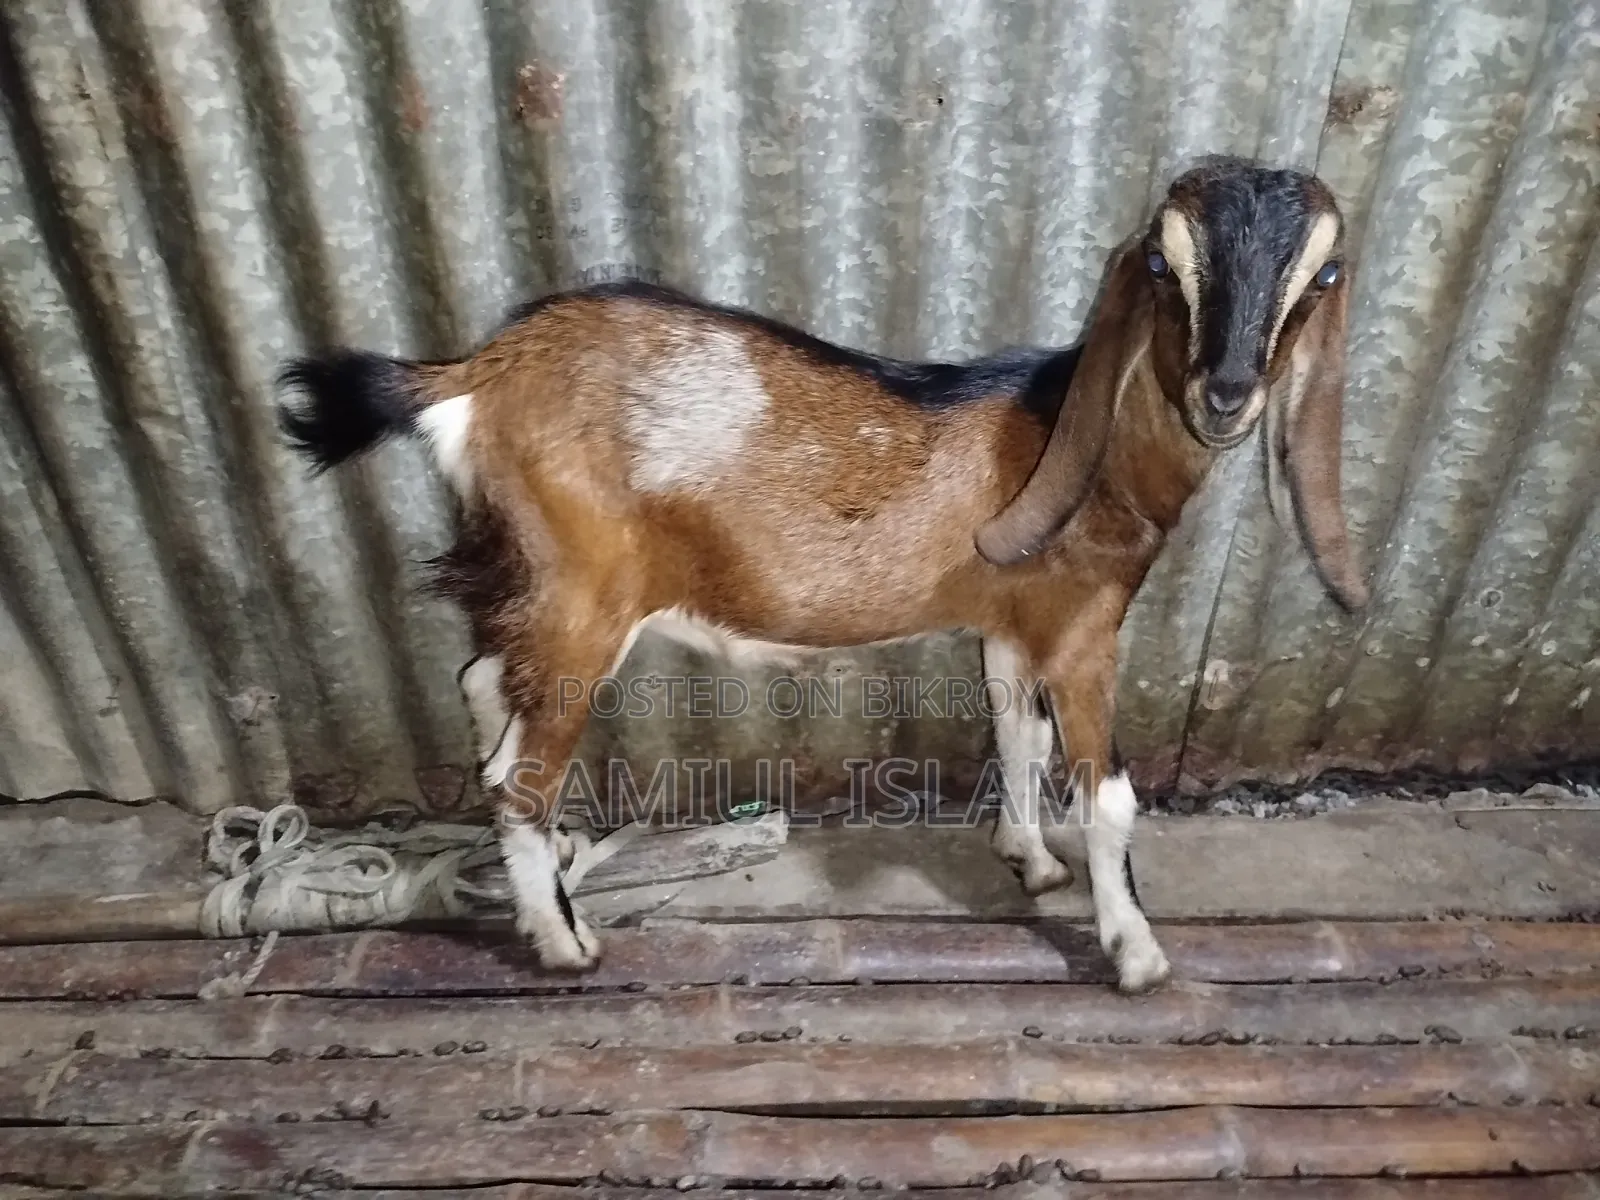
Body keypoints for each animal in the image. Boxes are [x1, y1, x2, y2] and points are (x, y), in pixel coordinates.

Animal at [279, 156, 1366, 993]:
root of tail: (474, 375)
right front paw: (1136, 953)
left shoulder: (1010, 626)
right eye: (1161, 265)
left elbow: (1015, 740)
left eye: (1317, 279)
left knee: (478, 688)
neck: (1083, 445)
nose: (1226, 394)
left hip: (530, 590)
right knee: (521, 774)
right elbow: (1106, 795)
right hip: (583, 602)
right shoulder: (1083, 632)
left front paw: (1029, 862)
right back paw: (563, 942)